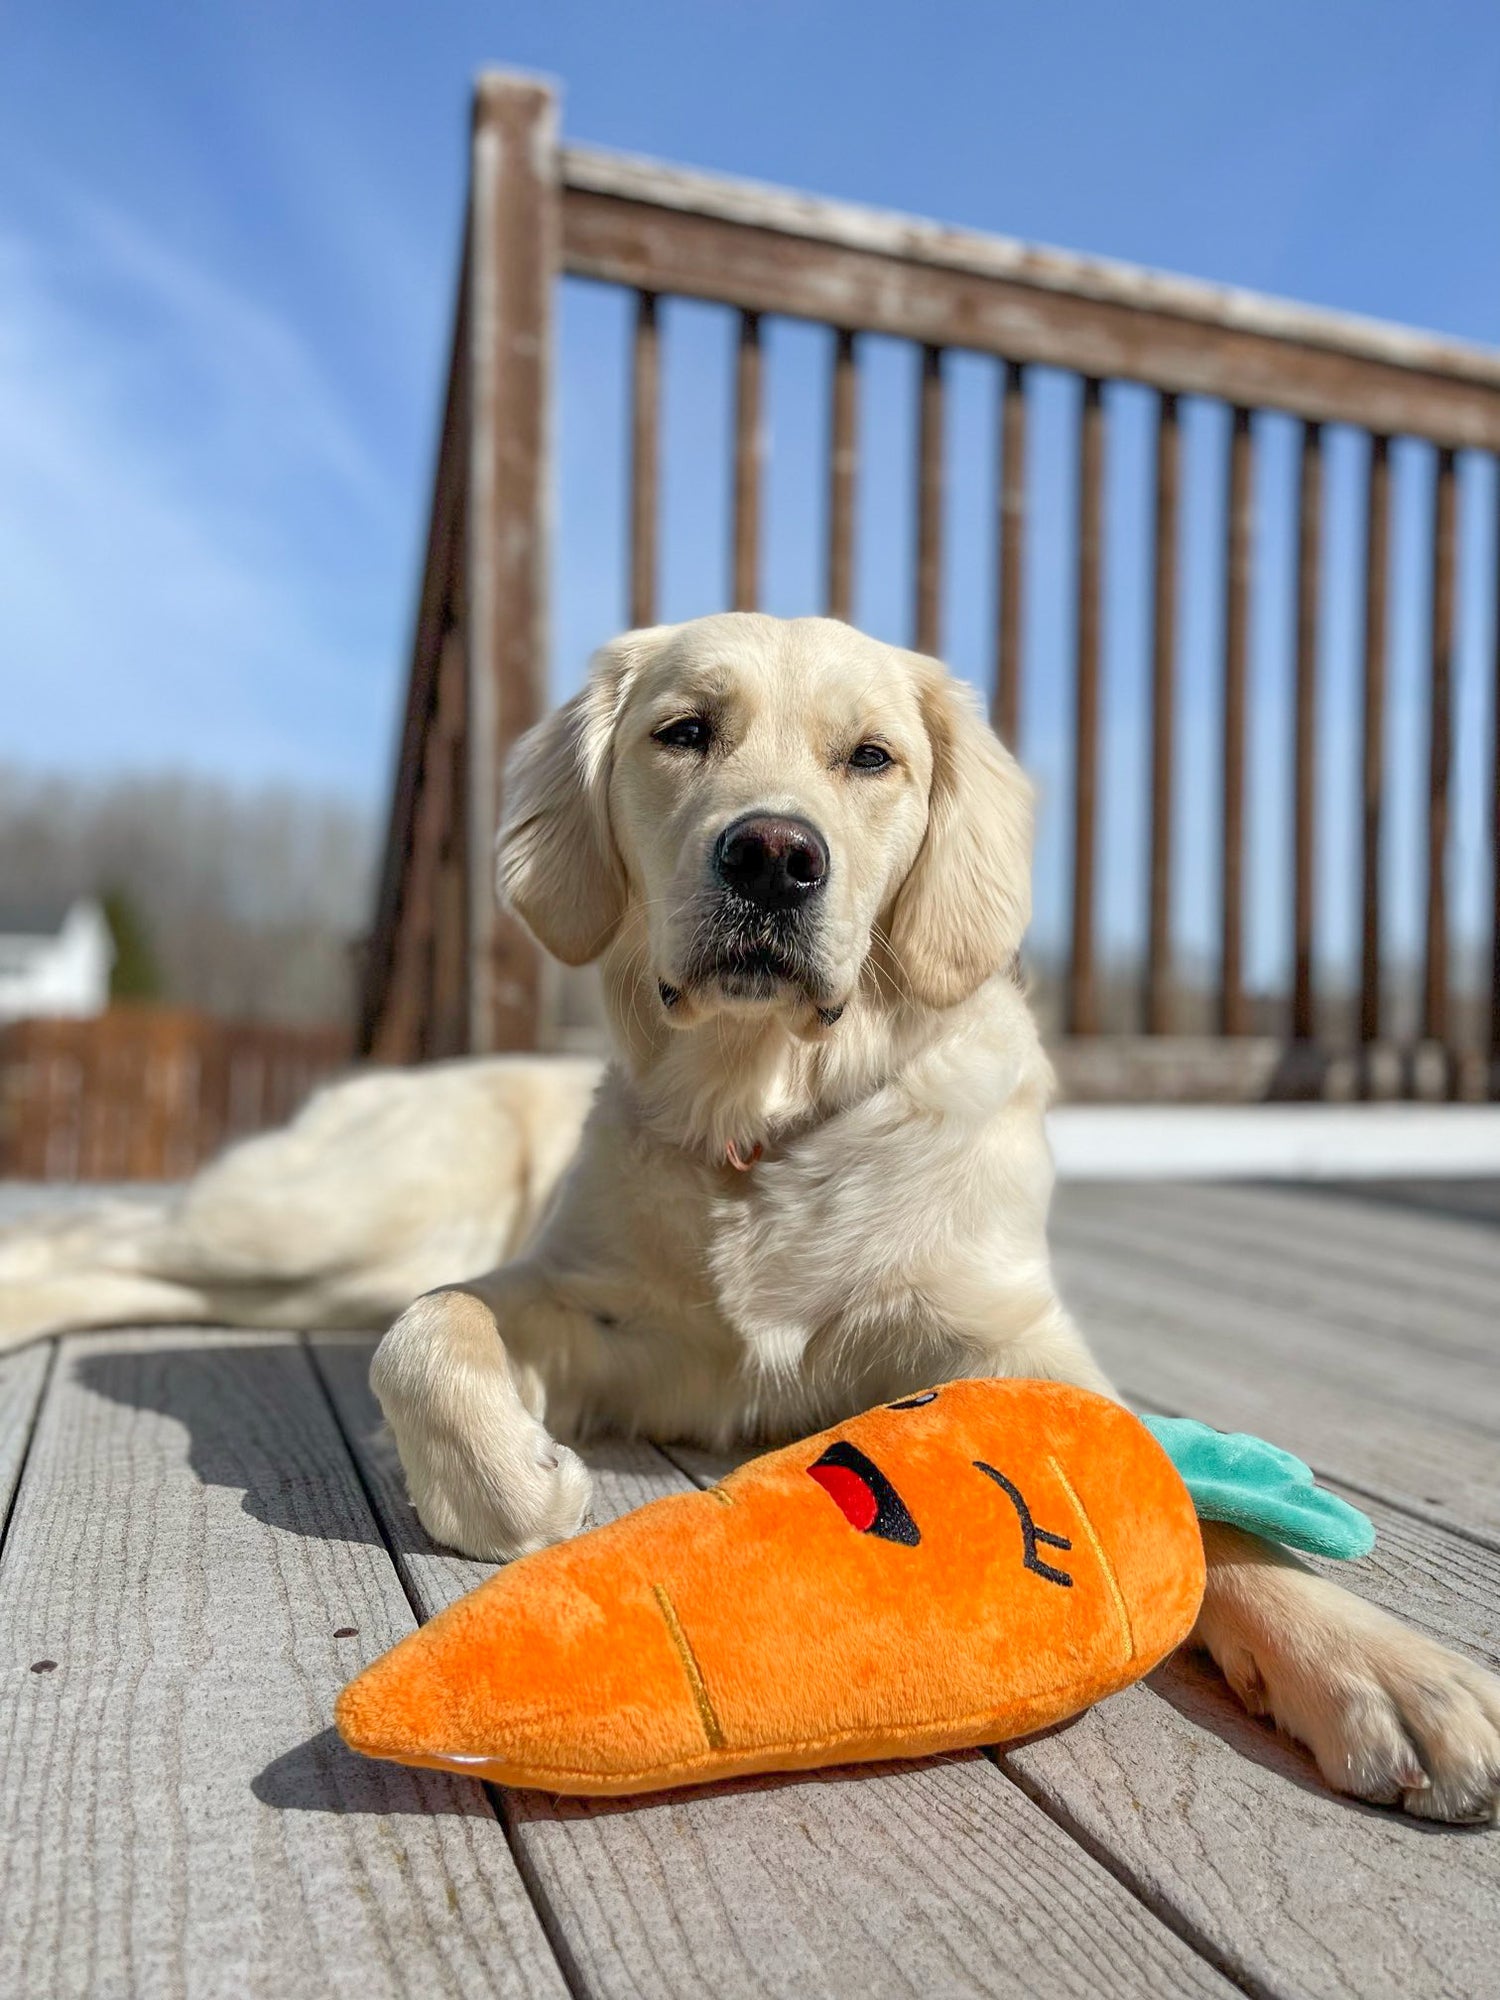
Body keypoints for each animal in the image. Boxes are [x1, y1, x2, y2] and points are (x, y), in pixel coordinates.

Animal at [2, 616, 1500, 1824]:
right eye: (684, 732)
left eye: (872, 758)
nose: (774, 854)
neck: (765, 1117)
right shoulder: (584, 1305)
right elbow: (430, 1338)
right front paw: (512, 1486)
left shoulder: (1005, 1330)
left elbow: (1195, 1498)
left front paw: (1383, 1668)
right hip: (348, 1218)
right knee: (121, 1244)